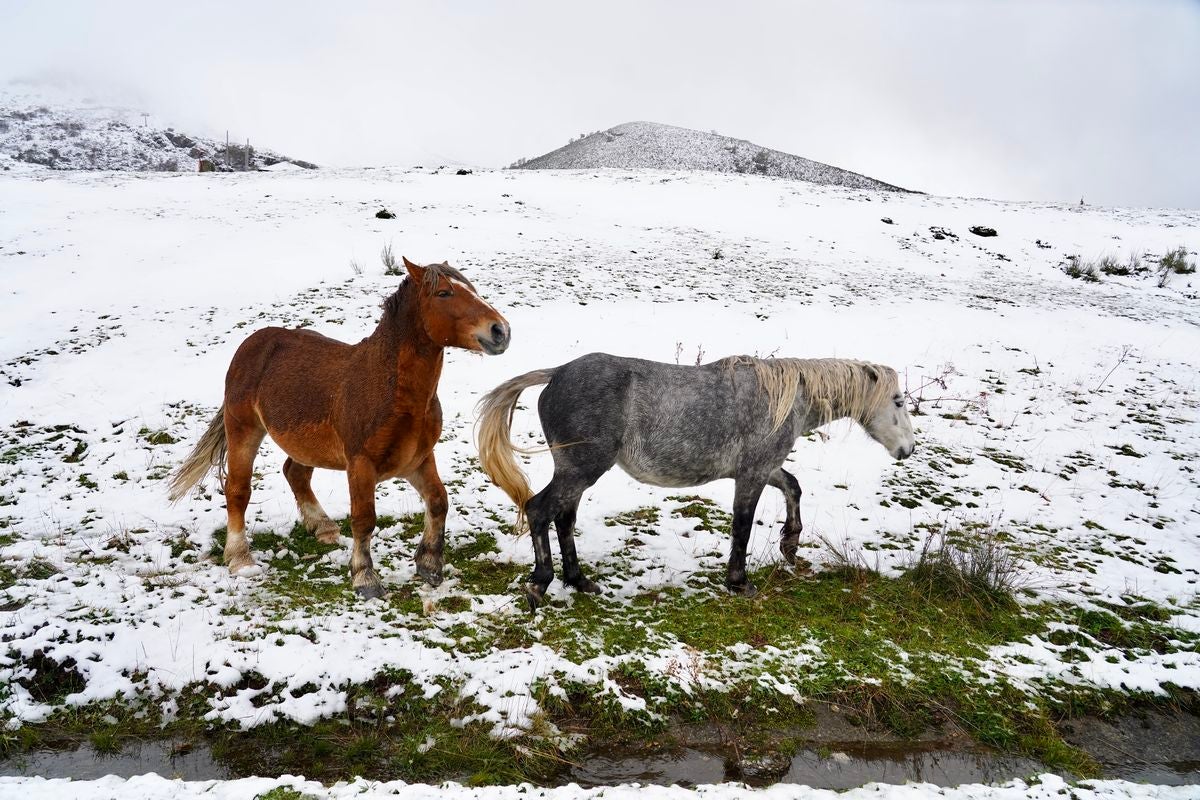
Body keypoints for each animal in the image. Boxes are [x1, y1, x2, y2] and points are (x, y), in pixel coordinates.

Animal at [168, 256, 510, 599]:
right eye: (443, 293)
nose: (501, 331)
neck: (393, 391)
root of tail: (252, 343)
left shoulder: (417, 460)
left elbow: (438, 501)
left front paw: (429, 566)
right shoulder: (360, 464)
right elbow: (364, 519)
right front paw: (365, 578)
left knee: (295, 473)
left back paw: (324, 528)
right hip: (244, 430)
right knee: (238, 490)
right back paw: (241, 558)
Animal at [476, 353, 915, 610]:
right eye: (897, 401)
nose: (908, 449)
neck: (784, 399)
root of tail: (556, 374)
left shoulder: (762, 468)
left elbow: (793, 486)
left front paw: (790, 544)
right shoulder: (752, 474)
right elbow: (742, 526)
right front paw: (739, 583)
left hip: (577, 473)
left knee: (563, 519)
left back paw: (579, 581)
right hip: (581, 469)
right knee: (539, 510)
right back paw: (540, 585)